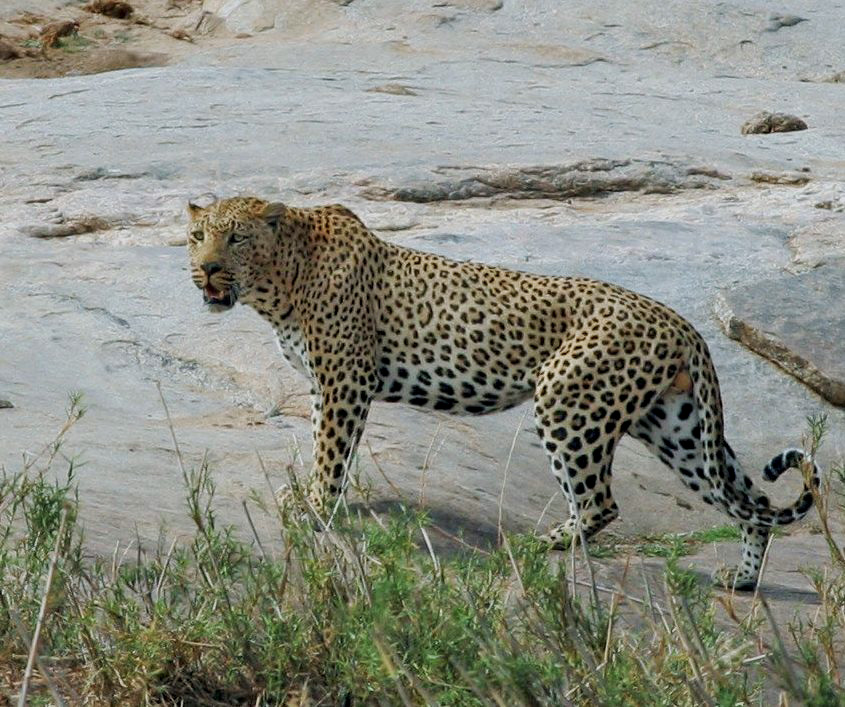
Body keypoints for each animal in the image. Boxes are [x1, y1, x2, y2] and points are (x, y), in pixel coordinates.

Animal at [186, 195, 820, 591]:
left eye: (235, 238)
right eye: (196, 236)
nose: (207, 269)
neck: (280, 283)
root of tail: (684, 325)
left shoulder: (345, 381)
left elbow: (331, 451)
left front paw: (315, 506)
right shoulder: (325, 384)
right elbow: (325, 446)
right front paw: (317, 495)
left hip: (567, 400)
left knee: (602, 501)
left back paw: (545, 545)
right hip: (678, 427)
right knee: (751, 506)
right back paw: (742, 580)